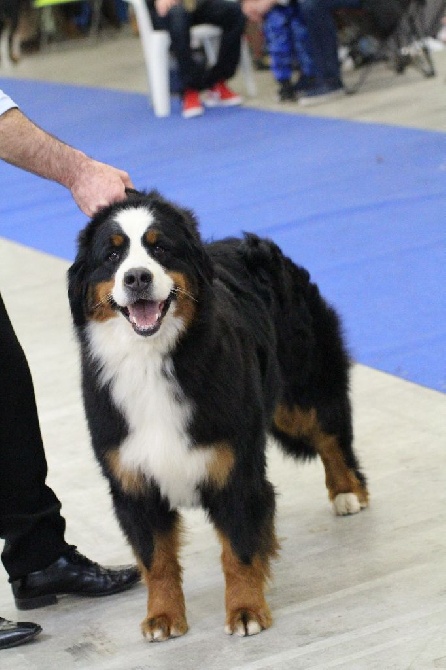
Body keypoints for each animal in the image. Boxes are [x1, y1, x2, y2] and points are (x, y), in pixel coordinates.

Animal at [68, 189, 370, 644]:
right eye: (112, 254)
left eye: (160, 248)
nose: (136, 277)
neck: (153, 361)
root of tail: (254, 244)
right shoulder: (133, 481)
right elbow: (156, 560)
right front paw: (162, 617)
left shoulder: (235, 470)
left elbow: (239, 550)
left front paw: (246, 611)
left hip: (301, 391)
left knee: (331, 434)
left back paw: (347, 492)